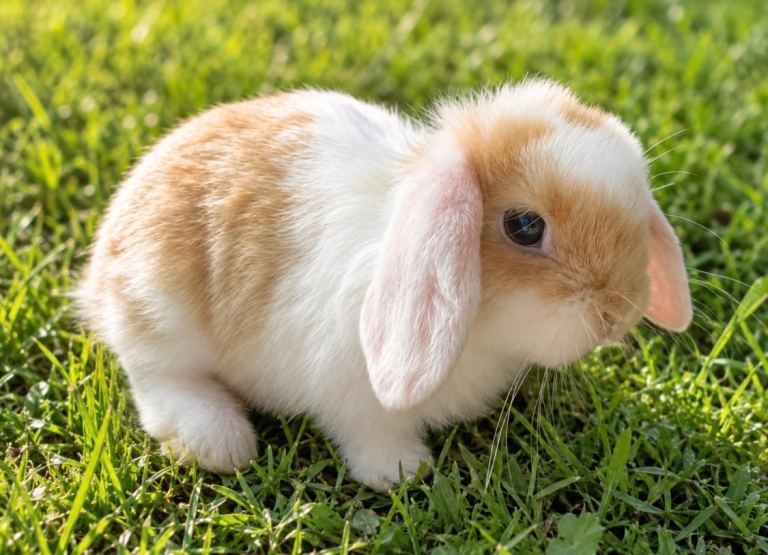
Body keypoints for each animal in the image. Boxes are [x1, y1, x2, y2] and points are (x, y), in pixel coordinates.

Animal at [76, 80, 692, 490]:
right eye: (524, 226)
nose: (617, 313)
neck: (480, 327)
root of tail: (102, 267)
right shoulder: (355, 396)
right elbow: (370, 434)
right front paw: (403, 472)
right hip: (161, 310)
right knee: (156, 378)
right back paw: (218, 440)